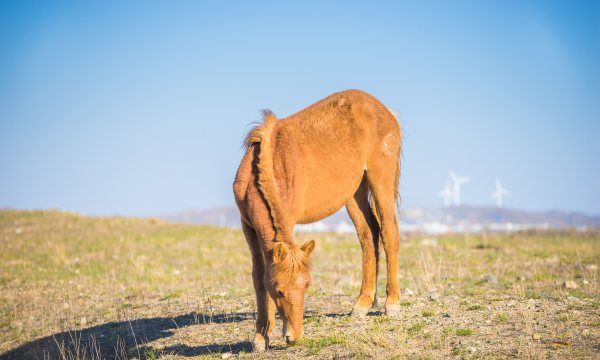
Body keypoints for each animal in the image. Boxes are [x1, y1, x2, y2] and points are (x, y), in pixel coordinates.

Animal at [232, 89, 400, 352]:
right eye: (279, 290)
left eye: (307, 286)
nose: (293, 336)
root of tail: (385, 110)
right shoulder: (247, 225)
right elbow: (259, 277)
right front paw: (260, 336)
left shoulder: (288, 220)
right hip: (354, 192)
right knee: (368, 235)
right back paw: (362, 304)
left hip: (379, 179)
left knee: (388, 232)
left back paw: (392, 303)